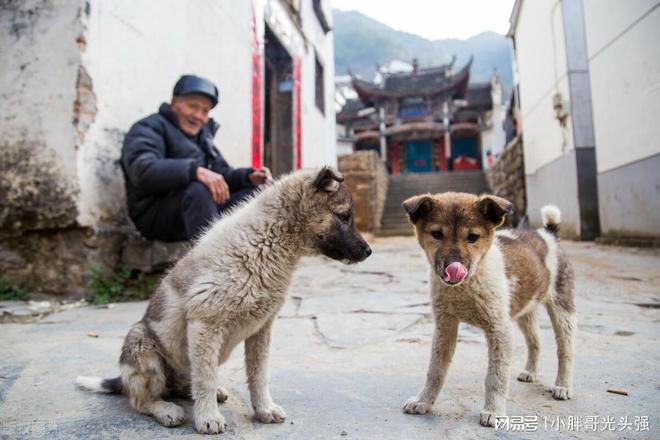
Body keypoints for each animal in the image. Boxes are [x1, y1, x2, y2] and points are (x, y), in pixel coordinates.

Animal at [77, 167, 372, 434]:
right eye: (345, 216)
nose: (368, 251)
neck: (266, 241)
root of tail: (123, 379)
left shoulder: (262, 327)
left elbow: (258, 374)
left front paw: (264, 409)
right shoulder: (206, 324)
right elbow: (205, 378)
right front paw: (208, 418)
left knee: (185, 384)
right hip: (144, 346)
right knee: (142, 400)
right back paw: (166, 409)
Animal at [400, 192, 576, 426]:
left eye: (472, 237)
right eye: (436, 234)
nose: (453, 267)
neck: (466, 286)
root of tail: (548, 234)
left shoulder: (499, 329)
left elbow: (496, 376)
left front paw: (494, 412)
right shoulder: (445, 325)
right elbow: (435, 369)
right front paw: (423, 401)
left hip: (562, 309)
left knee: (565, 350)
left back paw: (563, 386)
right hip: (524, 310)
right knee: (535, 341)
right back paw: (530, 372)